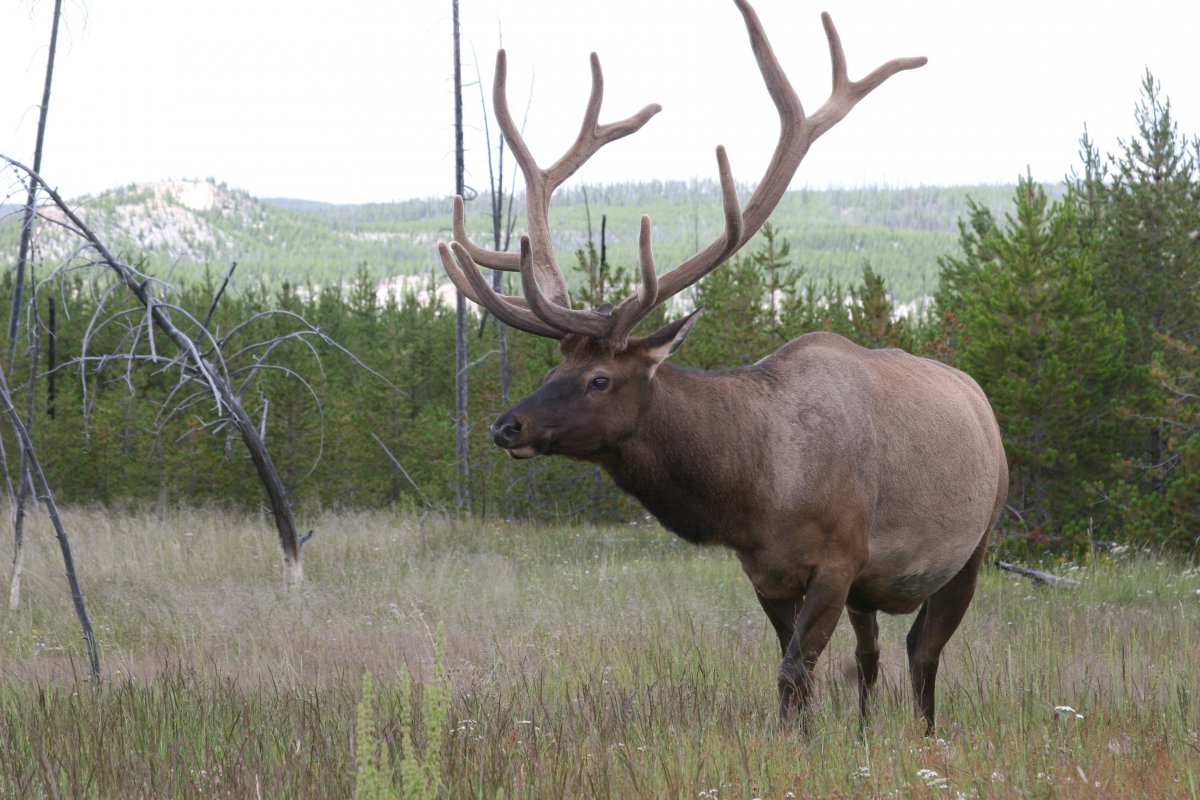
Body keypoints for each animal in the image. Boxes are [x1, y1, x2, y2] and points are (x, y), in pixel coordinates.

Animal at [436, 0, 1008, 734]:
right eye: (549, 369)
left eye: (600, 379)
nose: (506, 426)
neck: (755, 491)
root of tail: (980, 401)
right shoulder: (766, 573)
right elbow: (799, 676)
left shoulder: (839, 558)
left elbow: (793, 675)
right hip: (874, 588)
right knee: (873, 655)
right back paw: (862, 734)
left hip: (974, 545)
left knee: (923, 651)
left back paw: (924, 737)